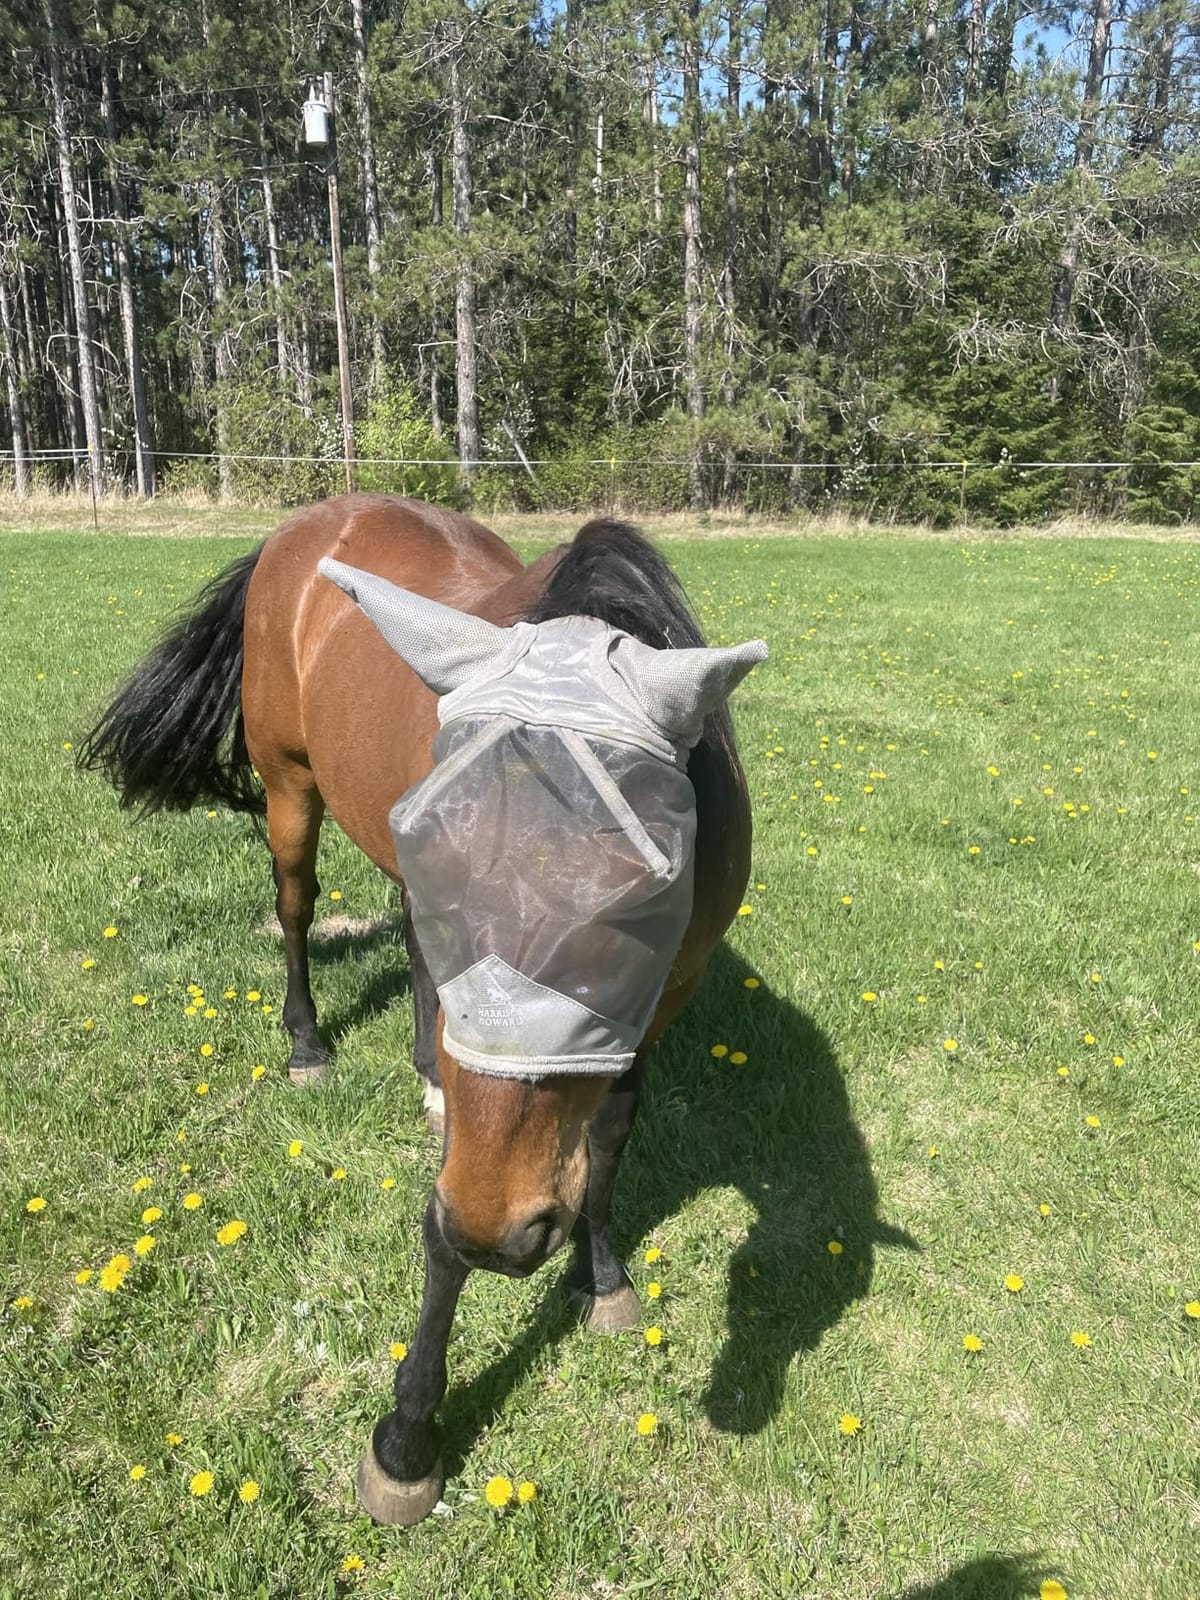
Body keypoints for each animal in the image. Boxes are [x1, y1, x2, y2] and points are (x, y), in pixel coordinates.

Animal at [78, 494, 764, 1524]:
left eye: (629, 916)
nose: (501, 1232)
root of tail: (309, 523)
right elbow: (441, 1230)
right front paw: (404, 1438)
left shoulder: (660, 1000)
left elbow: (607, 1137)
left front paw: (600, 1276)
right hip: (290, 786)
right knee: (296, 906)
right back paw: (308, 1044)